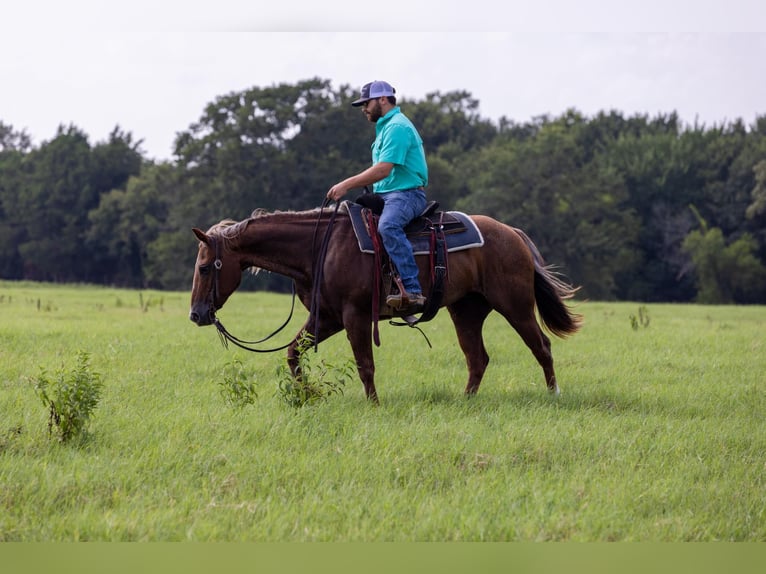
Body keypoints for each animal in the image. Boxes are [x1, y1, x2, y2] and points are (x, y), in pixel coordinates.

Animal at [189, 205, 582, 403]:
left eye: (205, 267)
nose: (196, 314)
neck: (320, 247)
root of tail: (511, 232)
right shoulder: (326, 317)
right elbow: (293, 353)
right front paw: (308, 394)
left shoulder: (355, 316)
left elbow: (365, 364)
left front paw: (373, 404)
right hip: (466, 311)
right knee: (478, 358)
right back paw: (466, 401)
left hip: (515, 305)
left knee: (541, 346)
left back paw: (554, 394)